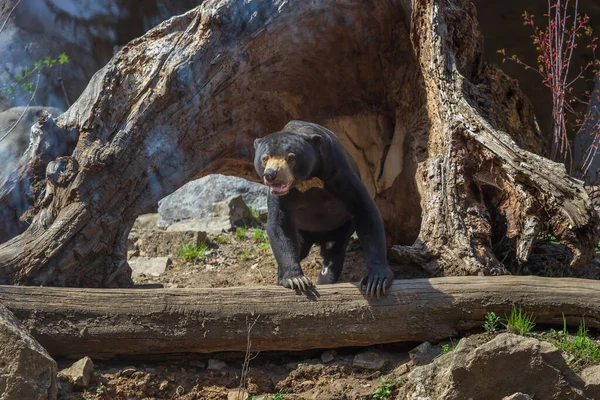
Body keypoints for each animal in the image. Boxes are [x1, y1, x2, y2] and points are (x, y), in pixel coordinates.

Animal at [253, 120, 394, 298]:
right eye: (265, 158)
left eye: (291, 158)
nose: (271, 174)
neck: (308, 179)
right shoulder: (279, 195)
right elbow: (279, 223)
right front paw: (295, 280)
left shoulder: (338, 171)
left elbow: (365, 210)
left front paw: (376, 281)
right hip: (302, 229)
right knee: (300, 247)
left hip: (341, 226)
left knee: (334, 251)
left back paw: (326, 279)